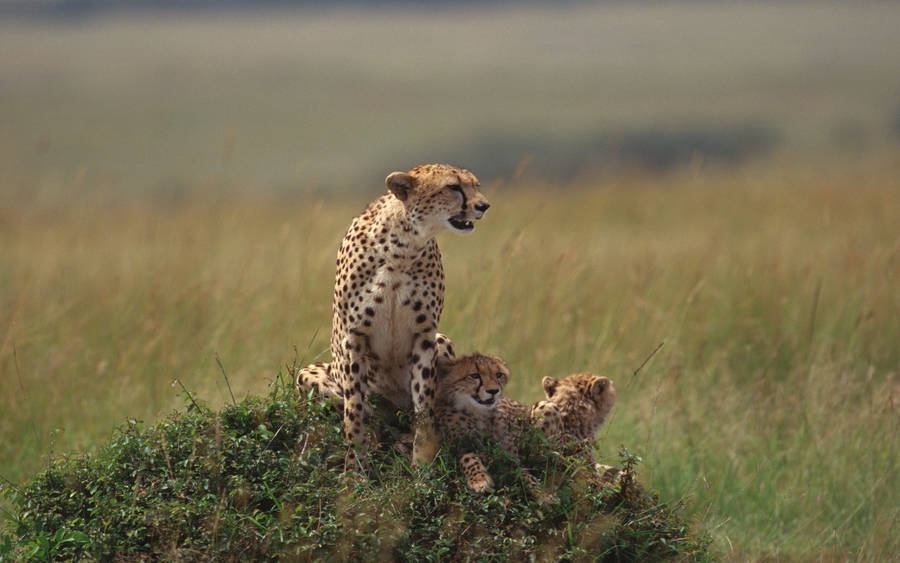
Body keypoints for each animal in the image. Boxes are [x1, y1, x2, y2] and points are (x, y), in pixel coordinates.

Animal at [323, 164, 490, 473]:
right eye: (453, 187)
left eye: (475, 185)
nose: (484, 206)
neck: (402, 248)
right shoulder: (353, 336)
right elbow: (354, 409)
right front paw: (355, 469)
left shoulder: (425, 335)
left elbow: (424, 402)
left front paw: (422, 462)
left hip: (442, 341)